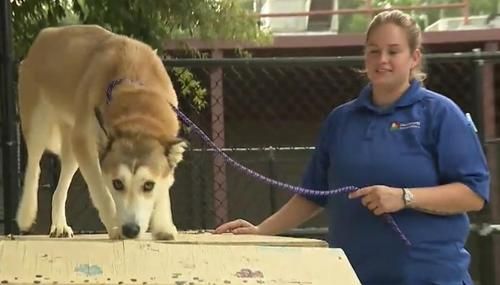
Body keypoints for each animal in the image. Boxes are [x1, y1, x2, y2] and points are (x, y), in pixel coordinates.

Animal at [16, 24, 188, 239]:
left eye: (148, 185)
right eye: (117, 184)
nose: (131, 230)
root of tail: (45, 34)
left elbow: (164, 186)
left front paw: (164, 226)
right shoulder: (84, 141)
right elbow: (101, 191)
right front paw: (114, 226)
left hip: (71, 144)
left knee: (60, 187)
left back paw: (60, 225)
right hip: (39, 122)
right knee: (34, 166)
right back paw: (26, 214)